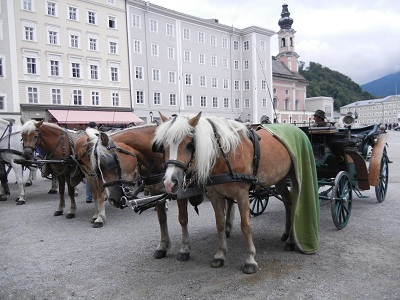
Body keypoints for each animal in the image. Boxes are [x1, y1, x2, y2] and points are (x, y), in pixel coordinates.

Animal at [85, 125, 234, 262]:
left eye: (107, 163)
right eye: (97, 169)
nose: (112, 200)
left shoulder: (180, 192)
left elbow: (183, 219)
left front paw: (184, 249)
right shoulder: (155, 191)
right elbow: (161, 219)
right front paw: (163, 246)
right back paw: (227, 227)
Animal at [153, 112, 318, 274]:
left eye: (190, 144)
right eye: (163, 145)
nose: (169, 182)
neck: (226, 155)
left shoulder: (242, 194)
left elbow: (246, 226)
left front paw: (250, 259)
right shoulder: (215, 195)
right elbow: (220, 224)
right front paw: (220, 255)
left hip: (293, 177)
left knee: (294, 203)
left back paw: (291, 240)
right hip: (280, 179)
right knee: (288, 203)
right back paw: (287, 234)